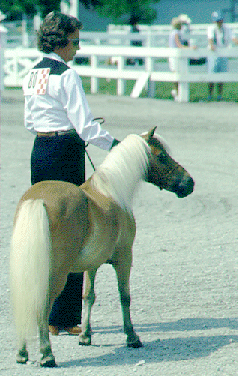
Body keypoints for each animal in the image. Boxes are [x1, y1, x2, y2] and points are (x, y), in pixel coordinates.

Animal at [10, 129, 194, 368]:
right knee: (41, 305)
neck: (111, 192)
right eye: (162, 156)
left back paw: (22, 353)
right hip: (55, 274)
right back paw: (47, 355)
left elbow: (89, 296)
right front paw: (132, 337)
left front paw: (85, 337)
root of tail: (38, 199)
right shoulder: (124, 258)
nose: (189, 183)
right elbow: (125, 296)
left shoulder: (93, 264)